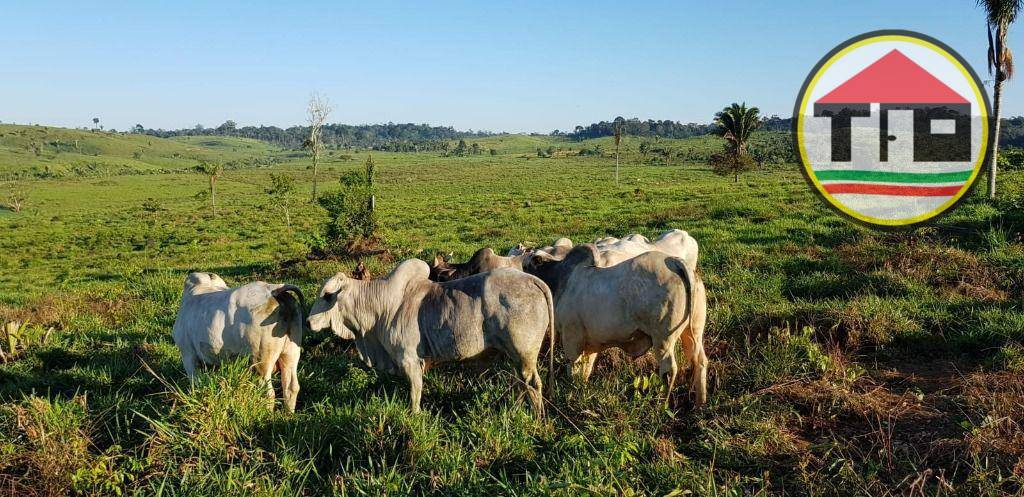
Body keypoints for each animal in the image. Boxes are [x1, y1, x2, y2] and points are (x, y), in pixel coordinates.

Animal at [172, 270, 305, 409]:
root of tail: (273, 289)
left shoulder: (188, 355)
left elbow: (195, 383)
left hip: (261, 359)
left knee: (268, 393)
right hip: (291, 352)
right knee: (291, 387)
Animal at [307, 257, 557, 416]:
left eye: (328, 295)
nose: (309, 322)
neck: (382, 307)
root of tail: (531, 280)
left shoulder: (409, 360)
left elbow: (415, 393)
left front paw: (415, 416)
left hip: (524, 353)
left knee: (532, 383)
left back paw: (537, 419)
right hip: (516, 356)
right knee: (521, 383)